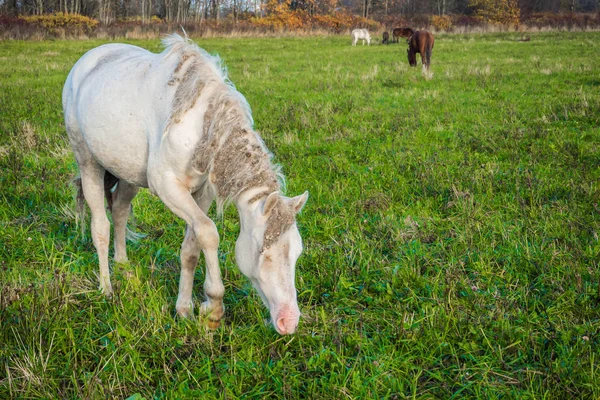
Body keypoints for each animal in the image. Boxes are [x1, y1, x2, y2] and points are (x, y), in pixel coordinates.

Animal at [63, 33, 310, 334]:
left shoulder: (201, 194)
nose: (289, 321)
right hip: (88, 163)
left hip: (128, 173)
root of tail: (88, 60)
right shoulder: (168, 187)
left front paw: (184, 309)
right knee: (101, 227)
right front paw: (213, 307)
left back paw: (122, 265)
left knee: (120, 212)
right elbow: (209, 233)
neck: (201, 125)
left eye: (297, 253)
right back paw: (106, 289)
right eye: (264, 253)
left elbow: (192, 247)